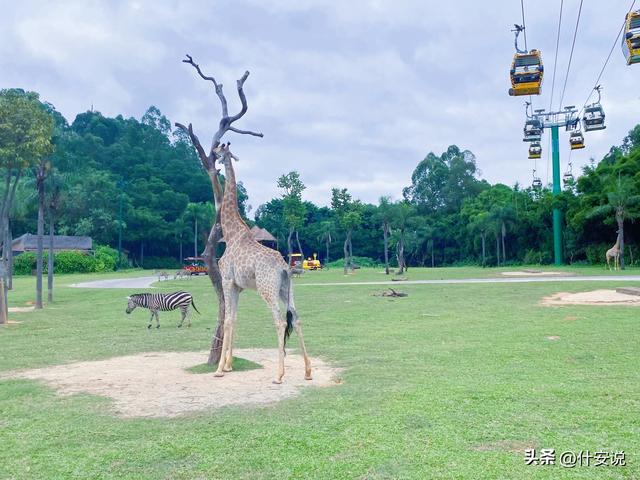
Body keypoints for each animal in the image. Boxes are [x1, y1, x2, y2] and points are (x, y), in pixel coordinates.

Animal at [214, 144, 312, 384]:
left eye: (220, 149)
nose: (212, 154)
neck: (230, 234)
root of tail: (284, 267)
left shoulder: (227, 280)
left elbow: (227, 320)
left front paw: (219, 369)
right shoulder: (238, 287)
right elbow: (235, 318)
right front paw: (229, 365)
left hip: (267, 289)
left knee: (280, 322)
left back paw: (279, 374)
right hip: (286, 289)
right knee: (297, 318)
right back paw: (307, 371)